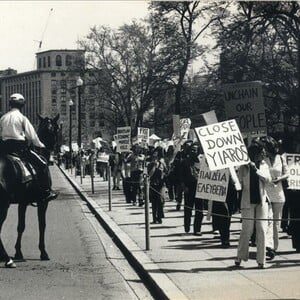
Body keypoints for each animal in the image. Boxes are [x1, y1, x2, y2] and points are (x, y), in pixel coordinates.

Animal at [0, 114, 59, 268]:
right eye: (56, 129)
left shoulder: (23, 202)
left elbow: (21, 226)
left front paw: (18, 252)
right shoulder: (43, 201)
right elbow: (42, 225)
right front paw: (43, 252)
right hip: (4, 205)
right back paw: (7, 260)